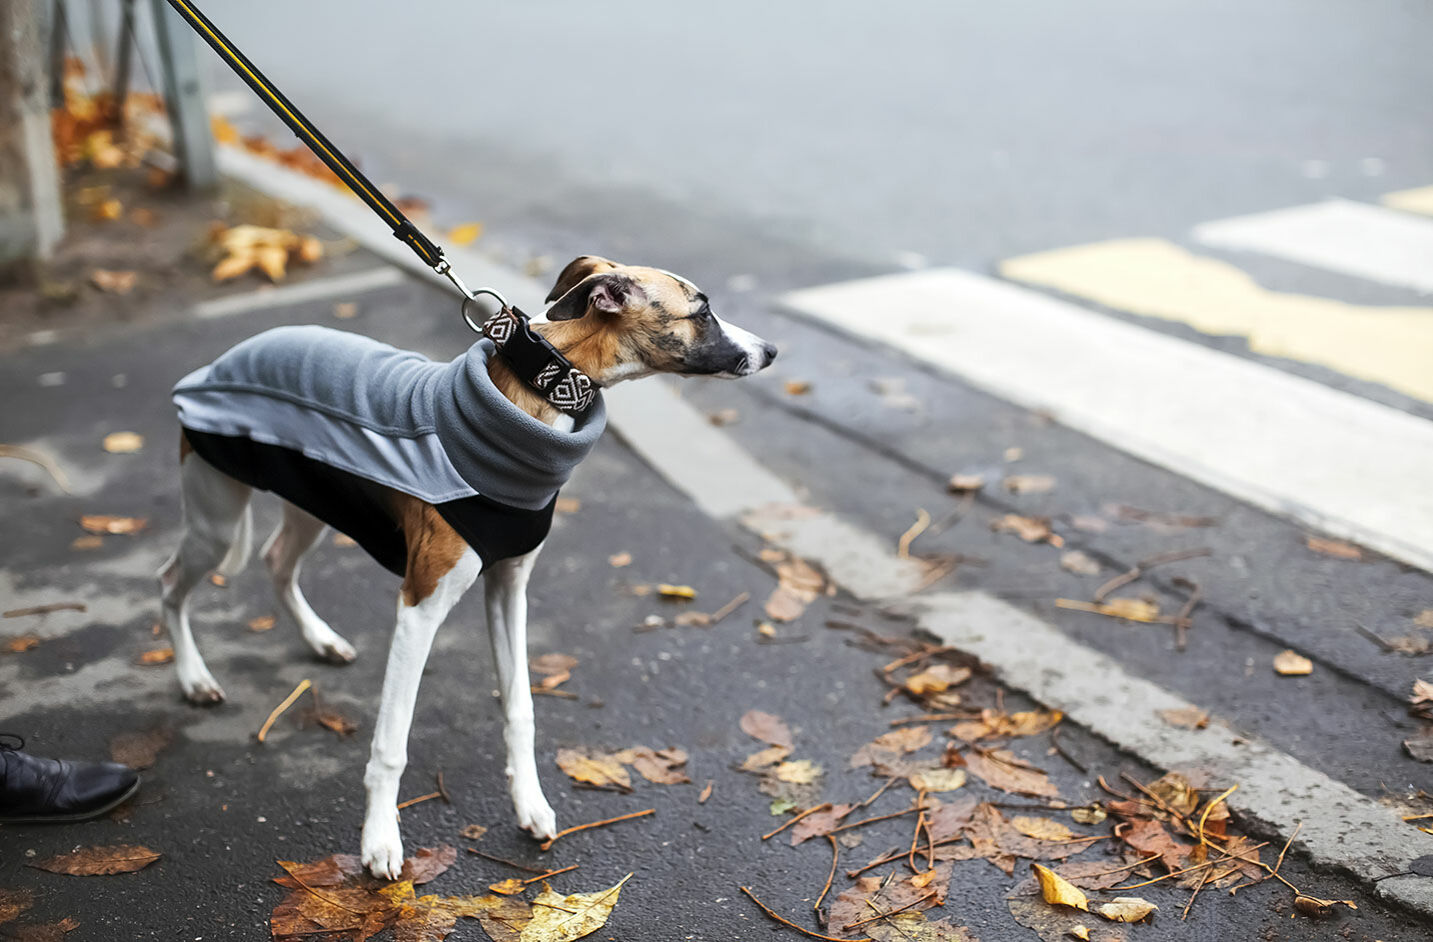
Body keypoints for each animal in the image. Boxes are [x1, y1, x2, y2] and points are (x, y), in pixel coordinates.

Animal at [155, 255, 773, 871]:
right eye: (703, 312)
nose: (770, 351)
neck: (540, 394)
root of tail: (228, 358)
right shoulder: (419, 607)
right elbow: (392, 741)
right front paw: (380, 839)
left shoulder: (508, 587)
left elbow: (520, 708)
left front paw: (530, 804)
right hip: (215, 520)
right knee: (169, 584)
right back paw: (194, 677)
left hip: (313, 501)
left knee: (278, 560)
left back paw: (319, 639)